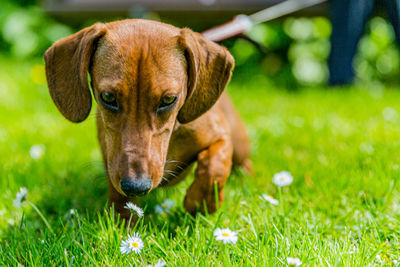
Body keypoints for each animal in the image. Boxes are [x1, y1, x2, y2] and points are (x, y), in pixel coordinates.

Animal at [43, 18, 250, 220]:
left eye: (168, 99)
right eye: (108, 97)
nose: (136, 186)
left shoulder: (221, 136)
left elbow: (215, 165)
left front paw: (201, 202)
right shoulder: (111, 158)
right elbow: (118, 194)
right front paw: (123, 222)